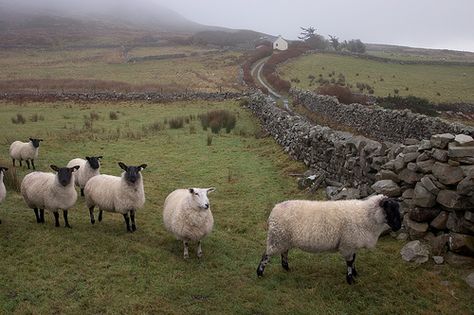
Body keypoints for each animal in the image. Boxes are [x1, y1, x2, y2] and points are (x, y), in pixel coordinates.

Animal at [256, 194, 400, 286]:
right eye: (390, 209)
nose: (398, 226)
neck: (366, 216)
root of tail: (274, 209)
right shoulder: (348, 244)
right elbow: (349, 262)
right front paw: (350, 280)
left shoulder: (352, 243)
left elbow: (354, 259)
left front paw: (355, 273)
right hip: (277, 237)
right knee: (266, 255)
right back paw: (260, 273)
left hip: (284, 238)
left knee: (284, 253)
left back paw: (286, 268)